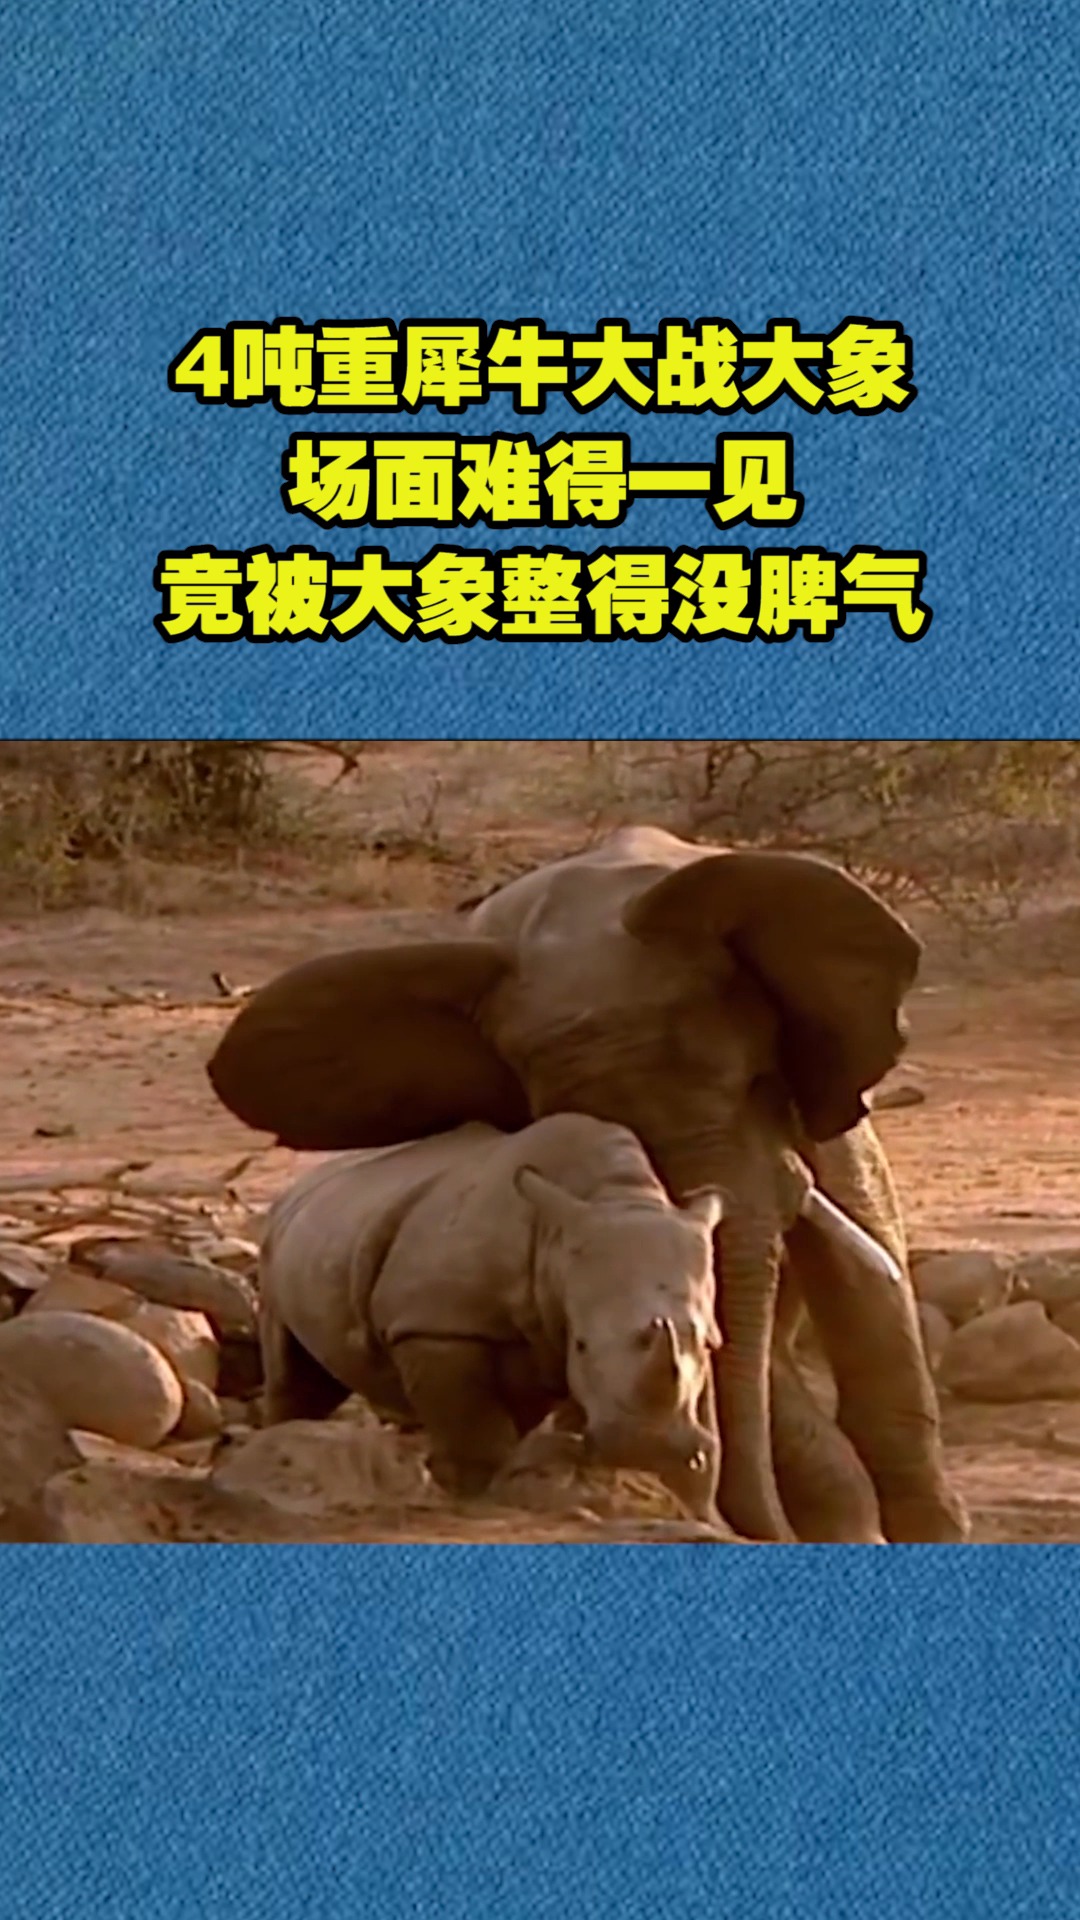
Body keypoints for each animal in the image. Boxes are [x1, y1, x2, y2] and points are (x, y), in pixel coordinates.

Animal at [257, 1114, 724, 1522]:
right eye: (581, 1345)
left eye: (703, 1343)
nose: (644, 1448)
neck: (616, 1194)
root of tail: (300, 1187)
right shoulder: (436, 1324)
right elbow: (474, 1426)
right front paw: (481, 1497)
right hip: (278, 1237)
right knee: (293, 1377)